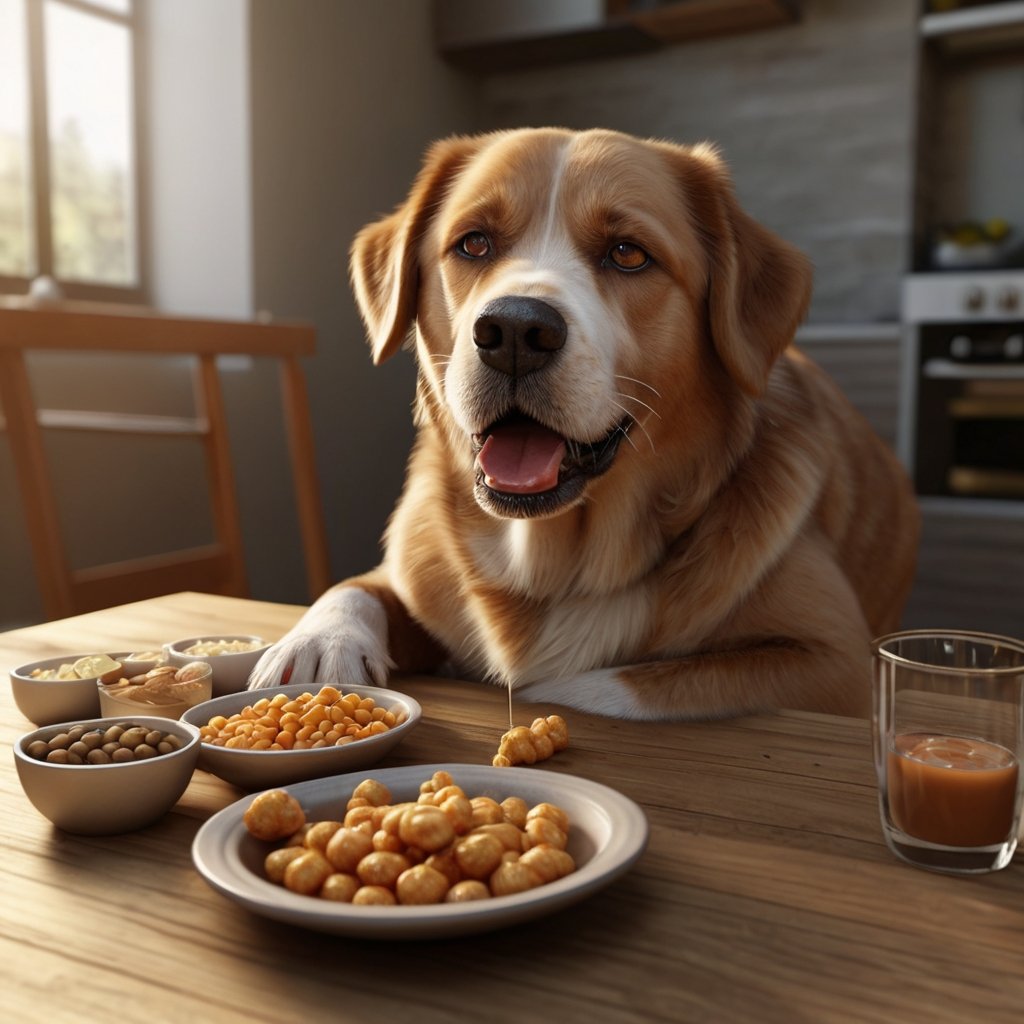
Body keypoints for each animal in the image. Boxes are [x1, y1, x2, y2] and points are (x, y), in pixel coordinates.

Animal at [249, 128, 921, 720]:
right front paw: (318, 644)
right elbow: (355, 586)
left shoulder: (835, 664)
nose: (514, 331)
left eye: (627, 253)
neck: (553, 562)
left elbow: (596, 684)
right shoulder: (412, 572)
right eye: (474, 244)